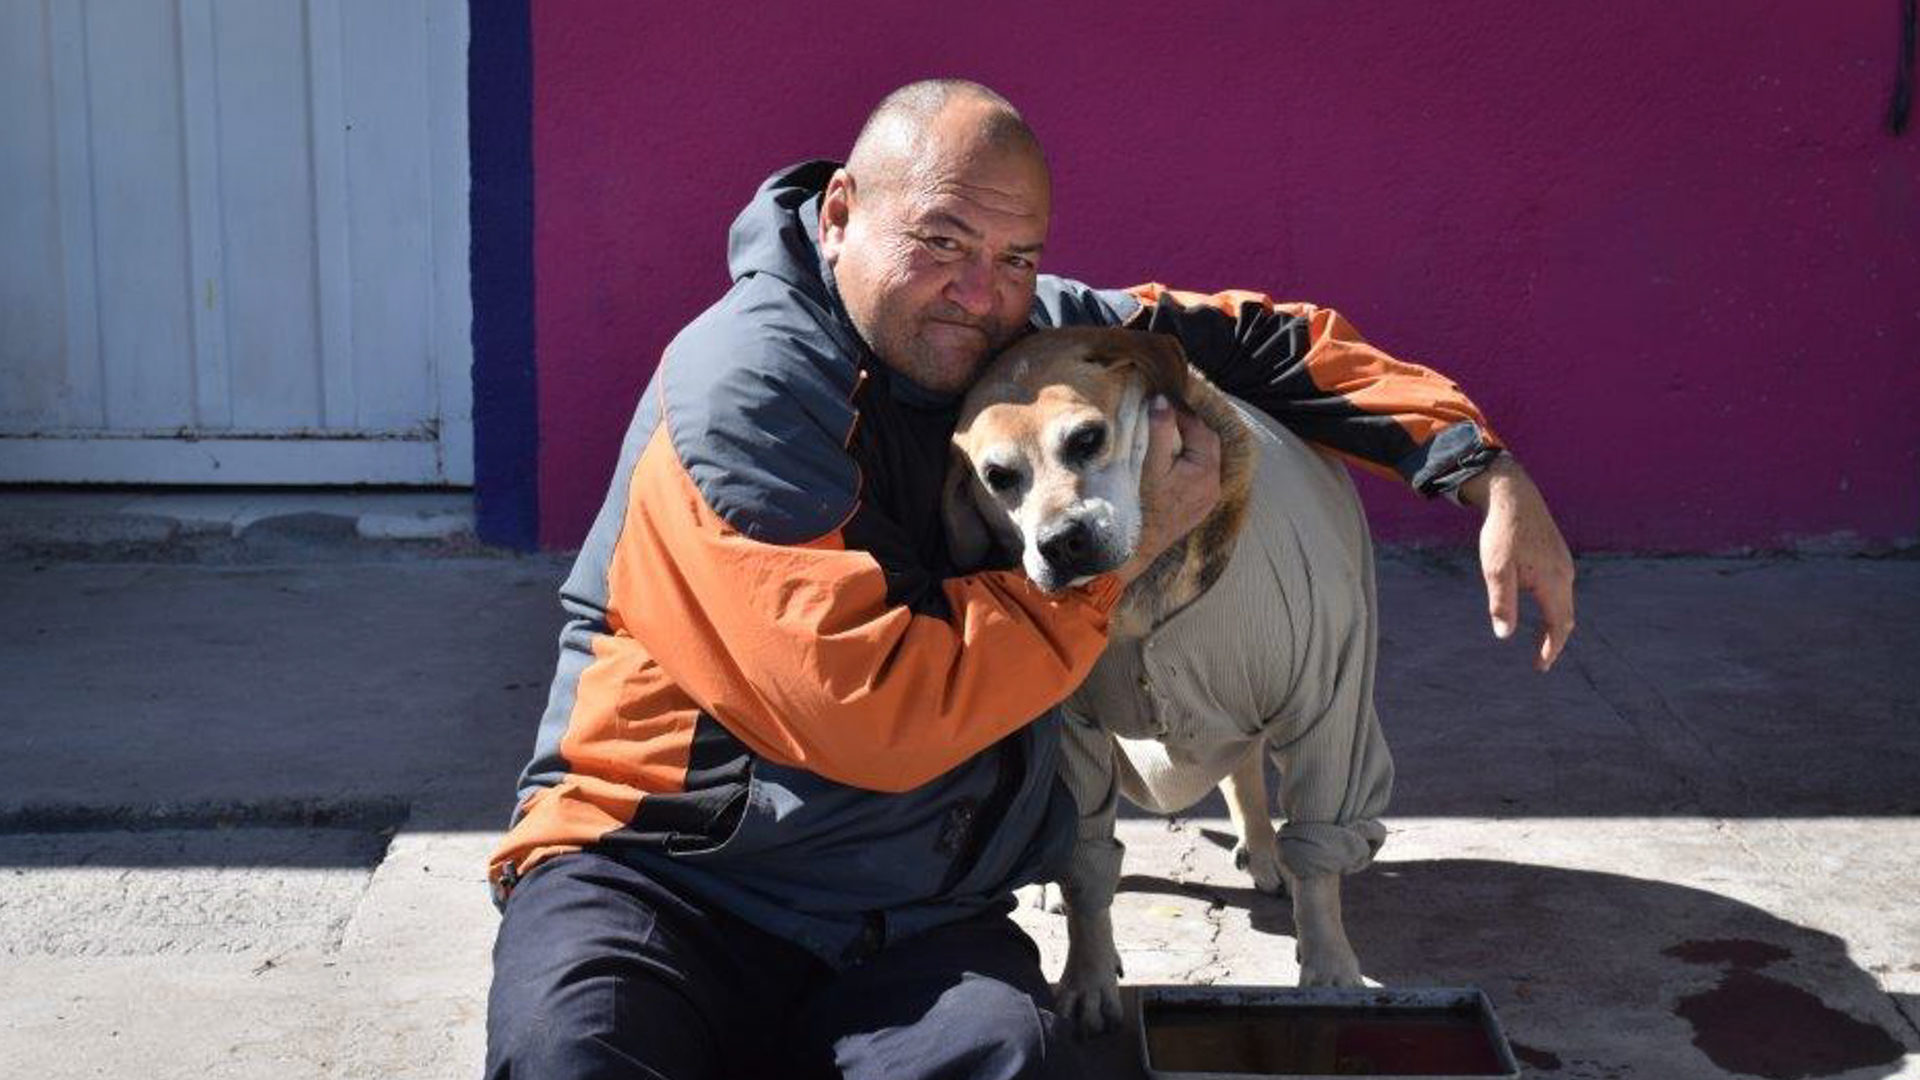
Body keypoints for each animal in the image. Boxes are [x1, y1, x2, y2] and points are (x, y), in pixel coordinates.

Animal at [944, 322, 1397, 1030]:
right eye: (998, 476)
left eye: (1087, 438)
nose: (1061, 543)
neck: (1143, 591)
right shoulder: (1072, 732)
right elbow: (1086, 866)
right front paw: (1088, 974)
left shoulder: (1328, 699)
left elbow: (1320, 855)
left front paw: (1328, 967)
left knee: (1248, 769)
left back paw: (1265, 851)